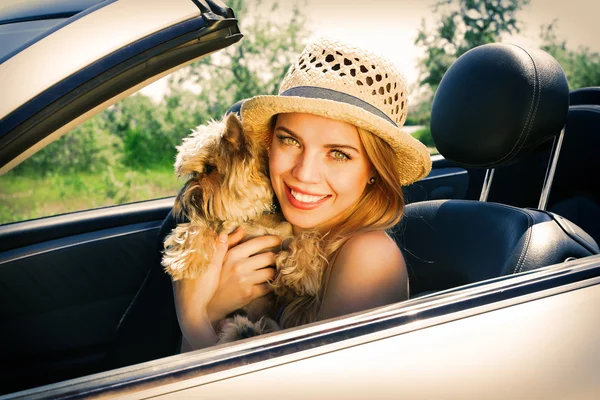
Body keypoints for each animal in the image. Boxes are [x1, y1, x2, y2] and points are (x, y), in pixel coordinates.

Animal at [162, 112, 326, 344]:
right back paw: (242, 330)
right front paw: (186, 261)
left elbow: (305, 239)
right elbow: (196, 228)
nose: (185, 200)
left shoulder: (285, 236)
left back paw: (248, 331)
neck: (254, 215)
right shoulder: (220, 226)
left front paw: (303, 275)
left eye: (210, 169)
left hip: (269, 320)